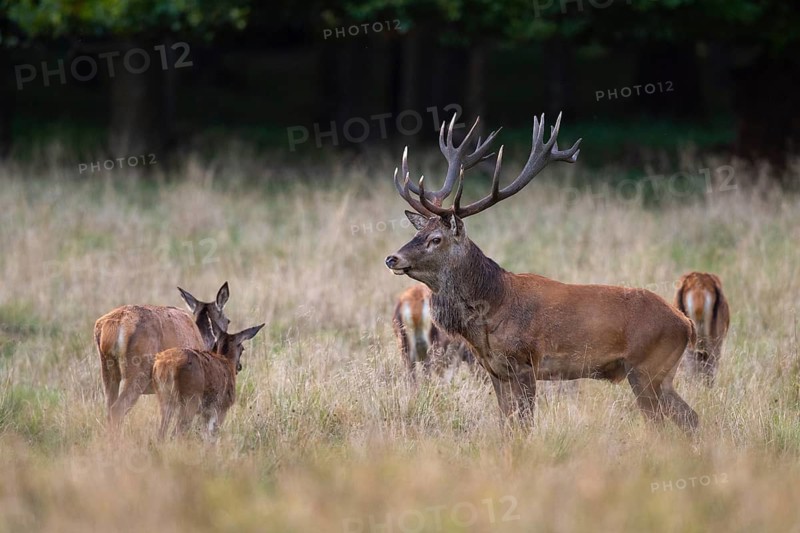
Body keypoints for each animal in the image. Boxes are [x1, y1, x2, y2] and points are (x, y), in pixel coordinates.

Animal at [93, 282, 231, 430]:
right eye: (228, 320)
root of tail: (117, 323)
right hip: (138, 369)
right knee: (117, 409)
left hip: (107, 369)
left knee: (108, 408)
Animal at [384, 113, 699, 433]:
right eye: (417, 232)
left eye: (436, 239)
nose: (392, 258)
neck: (490, 312)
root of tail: (686, 324)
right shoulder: (494, 370)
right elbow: (506, 423)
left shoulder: (524, 363)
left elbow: (524, 424)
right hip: (661, 374)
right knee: (690, 417)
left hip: (645, 368)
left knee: (663, 421)